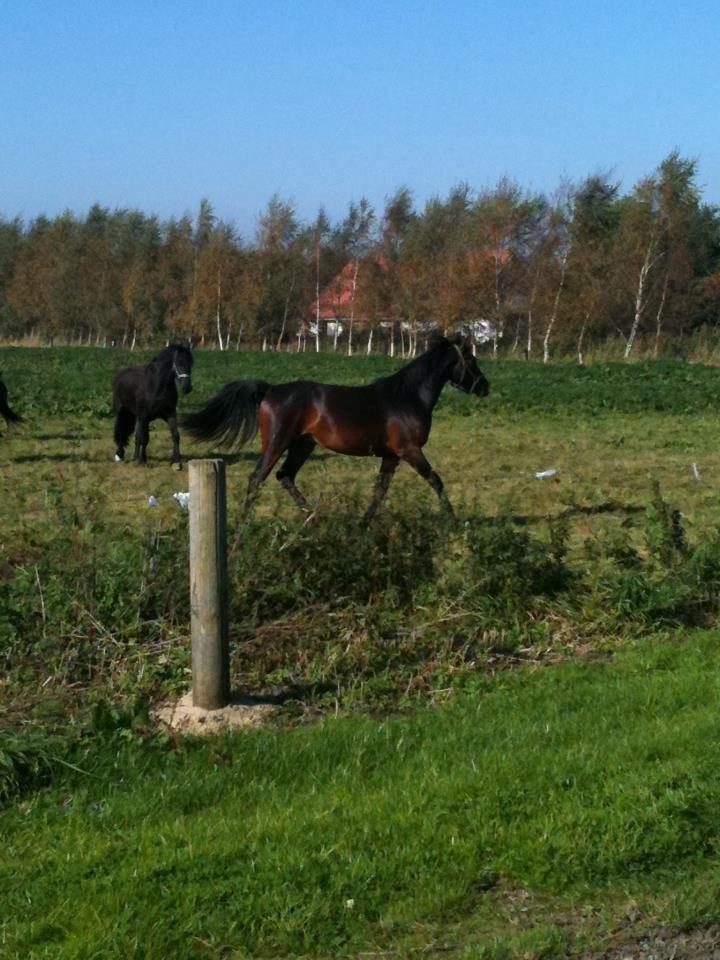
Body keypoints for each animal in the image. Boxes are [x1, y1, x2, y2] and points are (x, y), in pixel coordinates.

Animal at [183, 334, 492, 520]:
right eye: (471, 360)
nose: (485, 387)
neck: (407, 397)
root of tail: (270, 390)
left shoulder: (391, 456)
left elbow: (379, 491)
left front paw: (364, 525)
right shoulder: (410, 450)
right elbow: (435, 481)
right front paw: (453, 519)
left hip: (302, 445)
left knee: (285, 476)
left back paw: (312, 517)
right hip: (277, 443)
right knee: (257, 478)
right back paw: (244, 522)